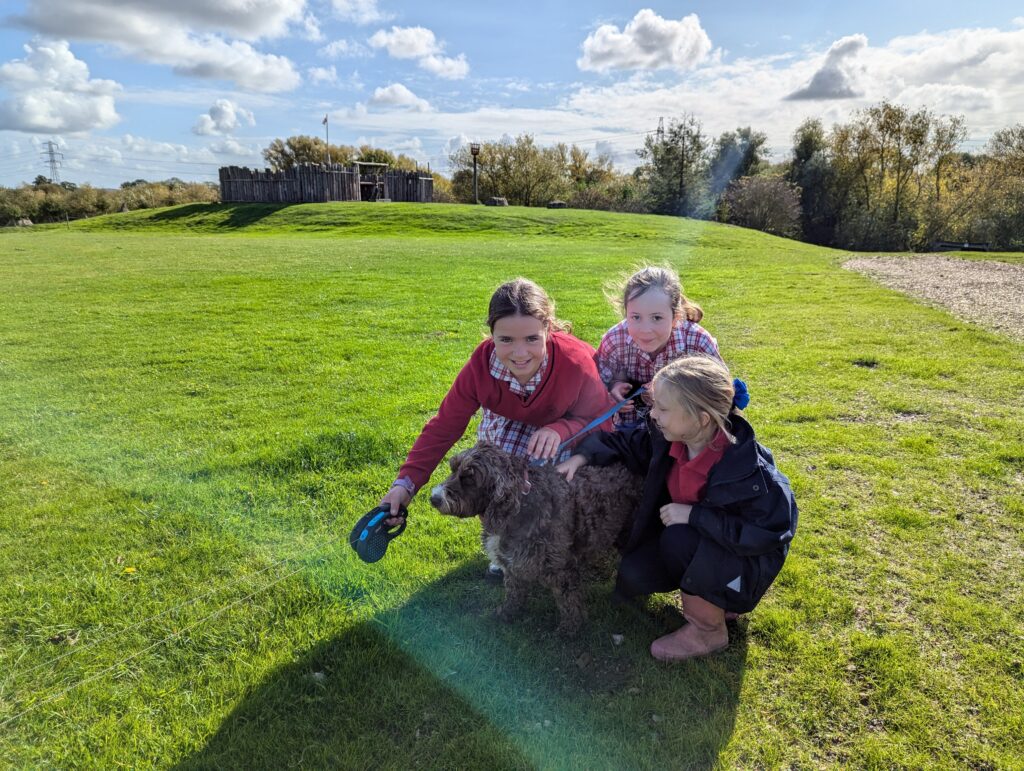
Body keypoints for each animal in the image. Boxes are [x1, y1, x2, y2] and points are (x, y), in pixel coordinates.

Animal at [430, 438, 638, 638]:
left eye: (469, 478)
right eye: (453, 468)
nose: (434, 499)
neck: (517, 508)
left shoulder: (562, 570)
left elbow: (569, 603)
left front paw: (570, 630)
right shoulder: (512, 564)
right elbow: (513, 592)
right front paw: (507, 613)